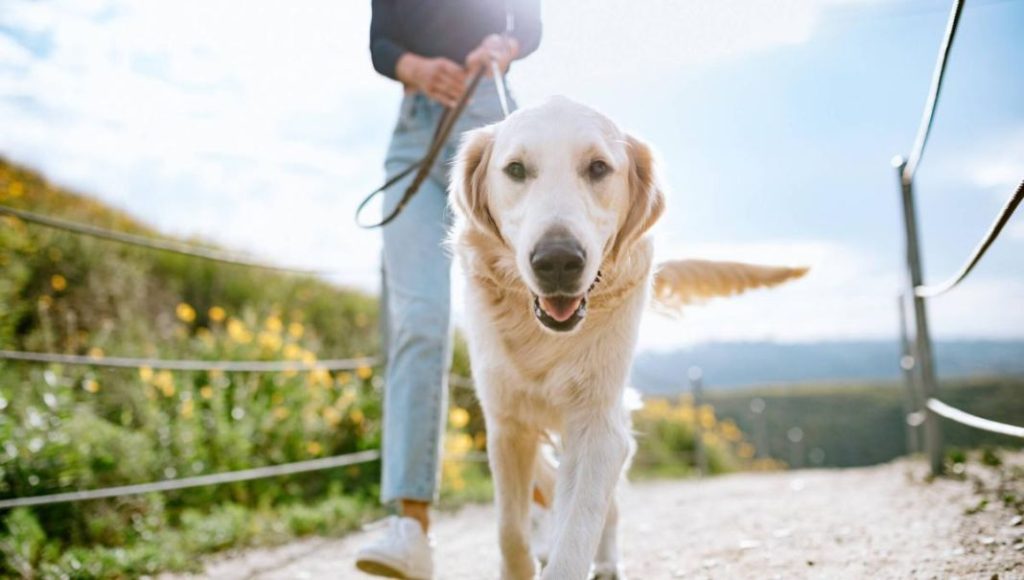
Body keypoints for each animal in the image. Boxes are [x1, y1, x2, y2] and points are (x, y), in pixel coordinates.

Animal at [448, 97, 806, 577]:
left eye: (598, 167)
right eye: (516, 169)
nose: (557, 261)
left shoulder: (599, 424)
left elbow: (577, 532)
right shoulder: (506, 423)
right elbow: (511, 532)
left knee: (604, 505)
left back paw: (606, 560)